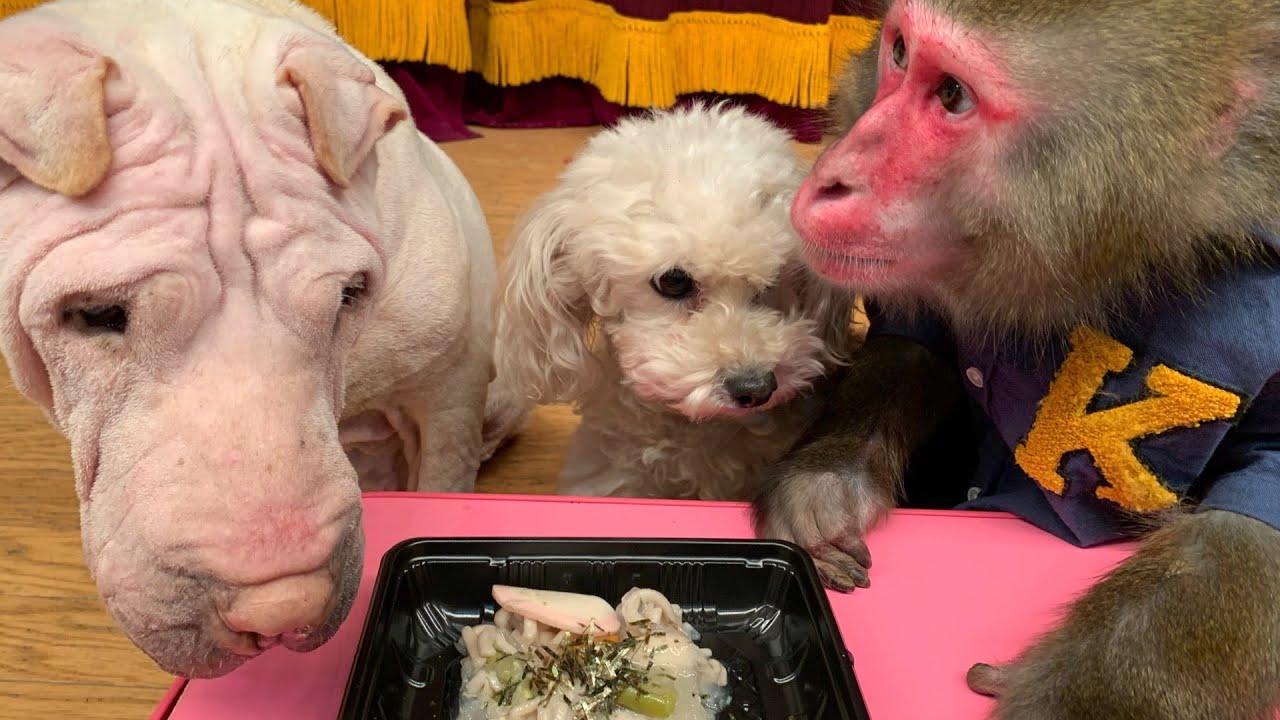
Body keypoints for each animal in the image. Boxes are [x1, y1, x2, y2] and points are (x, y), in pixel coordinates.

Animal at [752, 1, 1280, 718]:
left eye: (953, 94)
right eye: (899, 52)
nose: (829, 178)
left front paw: (1083, 693)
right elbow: (923, 340)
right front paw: (828, 482)